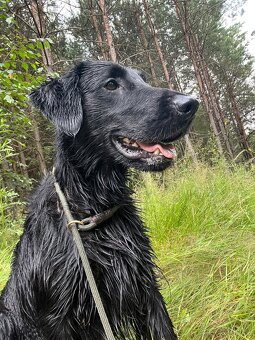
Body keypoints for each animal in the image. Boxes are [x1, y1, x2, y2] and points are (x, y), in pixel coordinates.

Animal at [0, 59, 198, 338]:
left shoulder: (146, 288)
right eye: (111, 84)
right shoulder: (55, 318)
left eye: (143, 80)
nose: (191, 103)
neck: (92, 208)